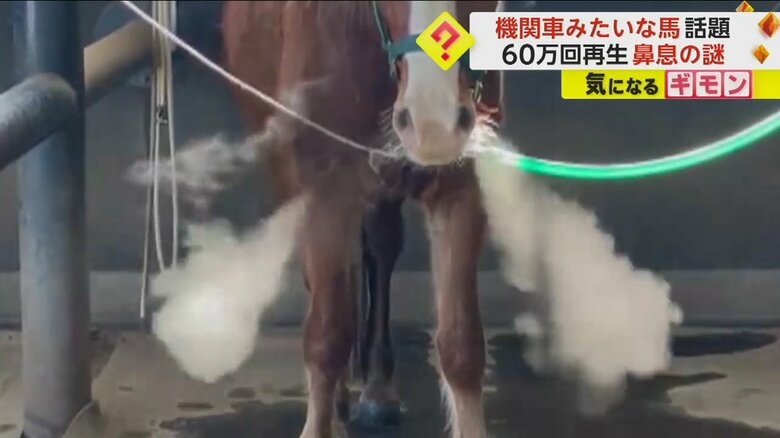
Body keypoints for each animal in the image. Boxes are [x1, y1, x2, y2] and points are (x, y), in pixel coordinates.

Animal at [221, 1, 505, 436]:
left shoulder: (460, 186)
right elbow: (326, 335)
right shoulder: (323, 187)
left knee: (380, 252)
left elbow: (461, 345)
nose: (432, 123)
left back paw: (376, 391)